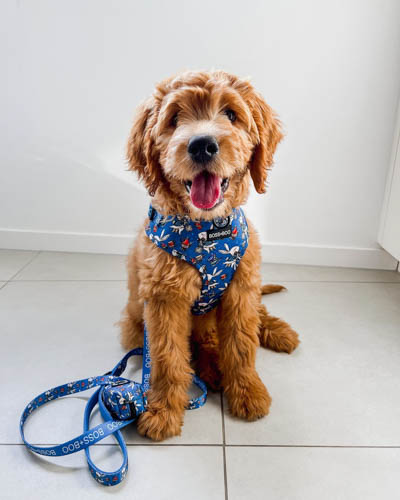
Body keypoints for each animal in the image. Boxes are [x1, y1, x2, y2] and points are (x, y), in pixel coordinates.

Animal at [119, 71, 300, 442]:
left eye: (231, 114)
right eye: (174, 119)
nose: (202, 145)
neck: (207, 232)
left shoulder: (241, 288)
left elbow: (242, 345)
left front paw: (248, 391)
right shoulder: (164, 299)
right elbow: (168, 357)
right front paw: (162, 410)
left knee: (255, 315)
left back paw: (276, 333)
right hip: (135, 323)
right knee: (201, 342)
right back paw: (211, 369)